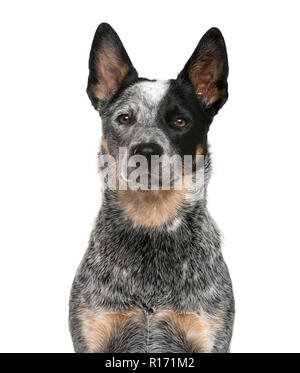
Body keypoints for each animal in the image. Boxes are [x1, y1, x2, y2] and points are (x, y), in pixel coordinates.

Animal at [69, 23, 234, 352]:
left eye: (180, 121)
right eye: (124, 118)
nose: (145, 151)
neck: (152, 224)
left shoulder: (210, 333)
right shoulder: (92, 331)